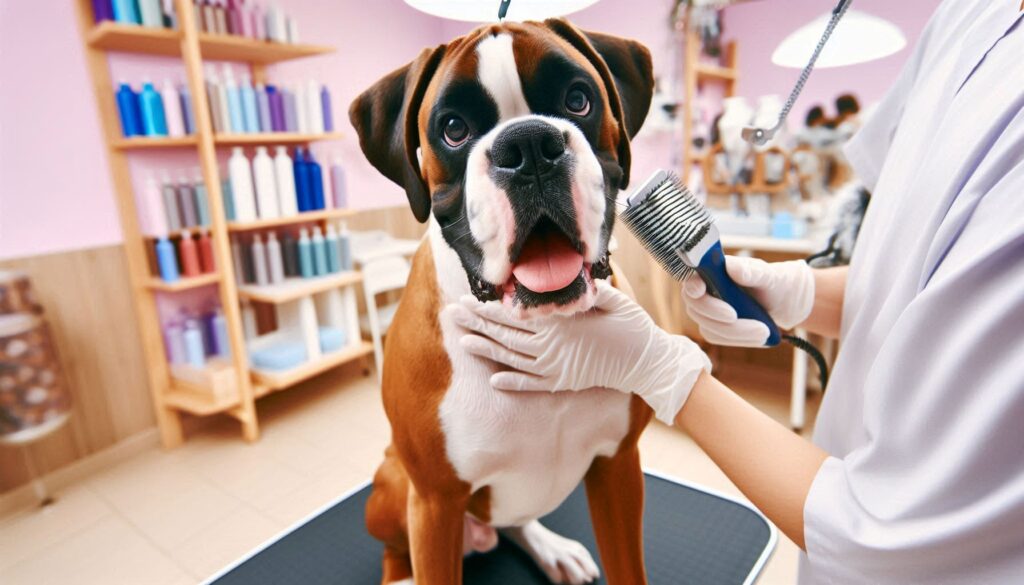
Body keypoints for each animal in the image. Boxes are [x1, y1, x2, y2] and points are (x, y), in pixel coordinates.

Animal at [352, 18, 655, 585]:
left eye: (578, 99)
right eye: (453, 128)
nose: (530, 144)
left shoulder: (618, 466)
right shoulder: (435, 505)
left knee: (513, 519)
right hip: (395, 489)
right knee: (393, 553)